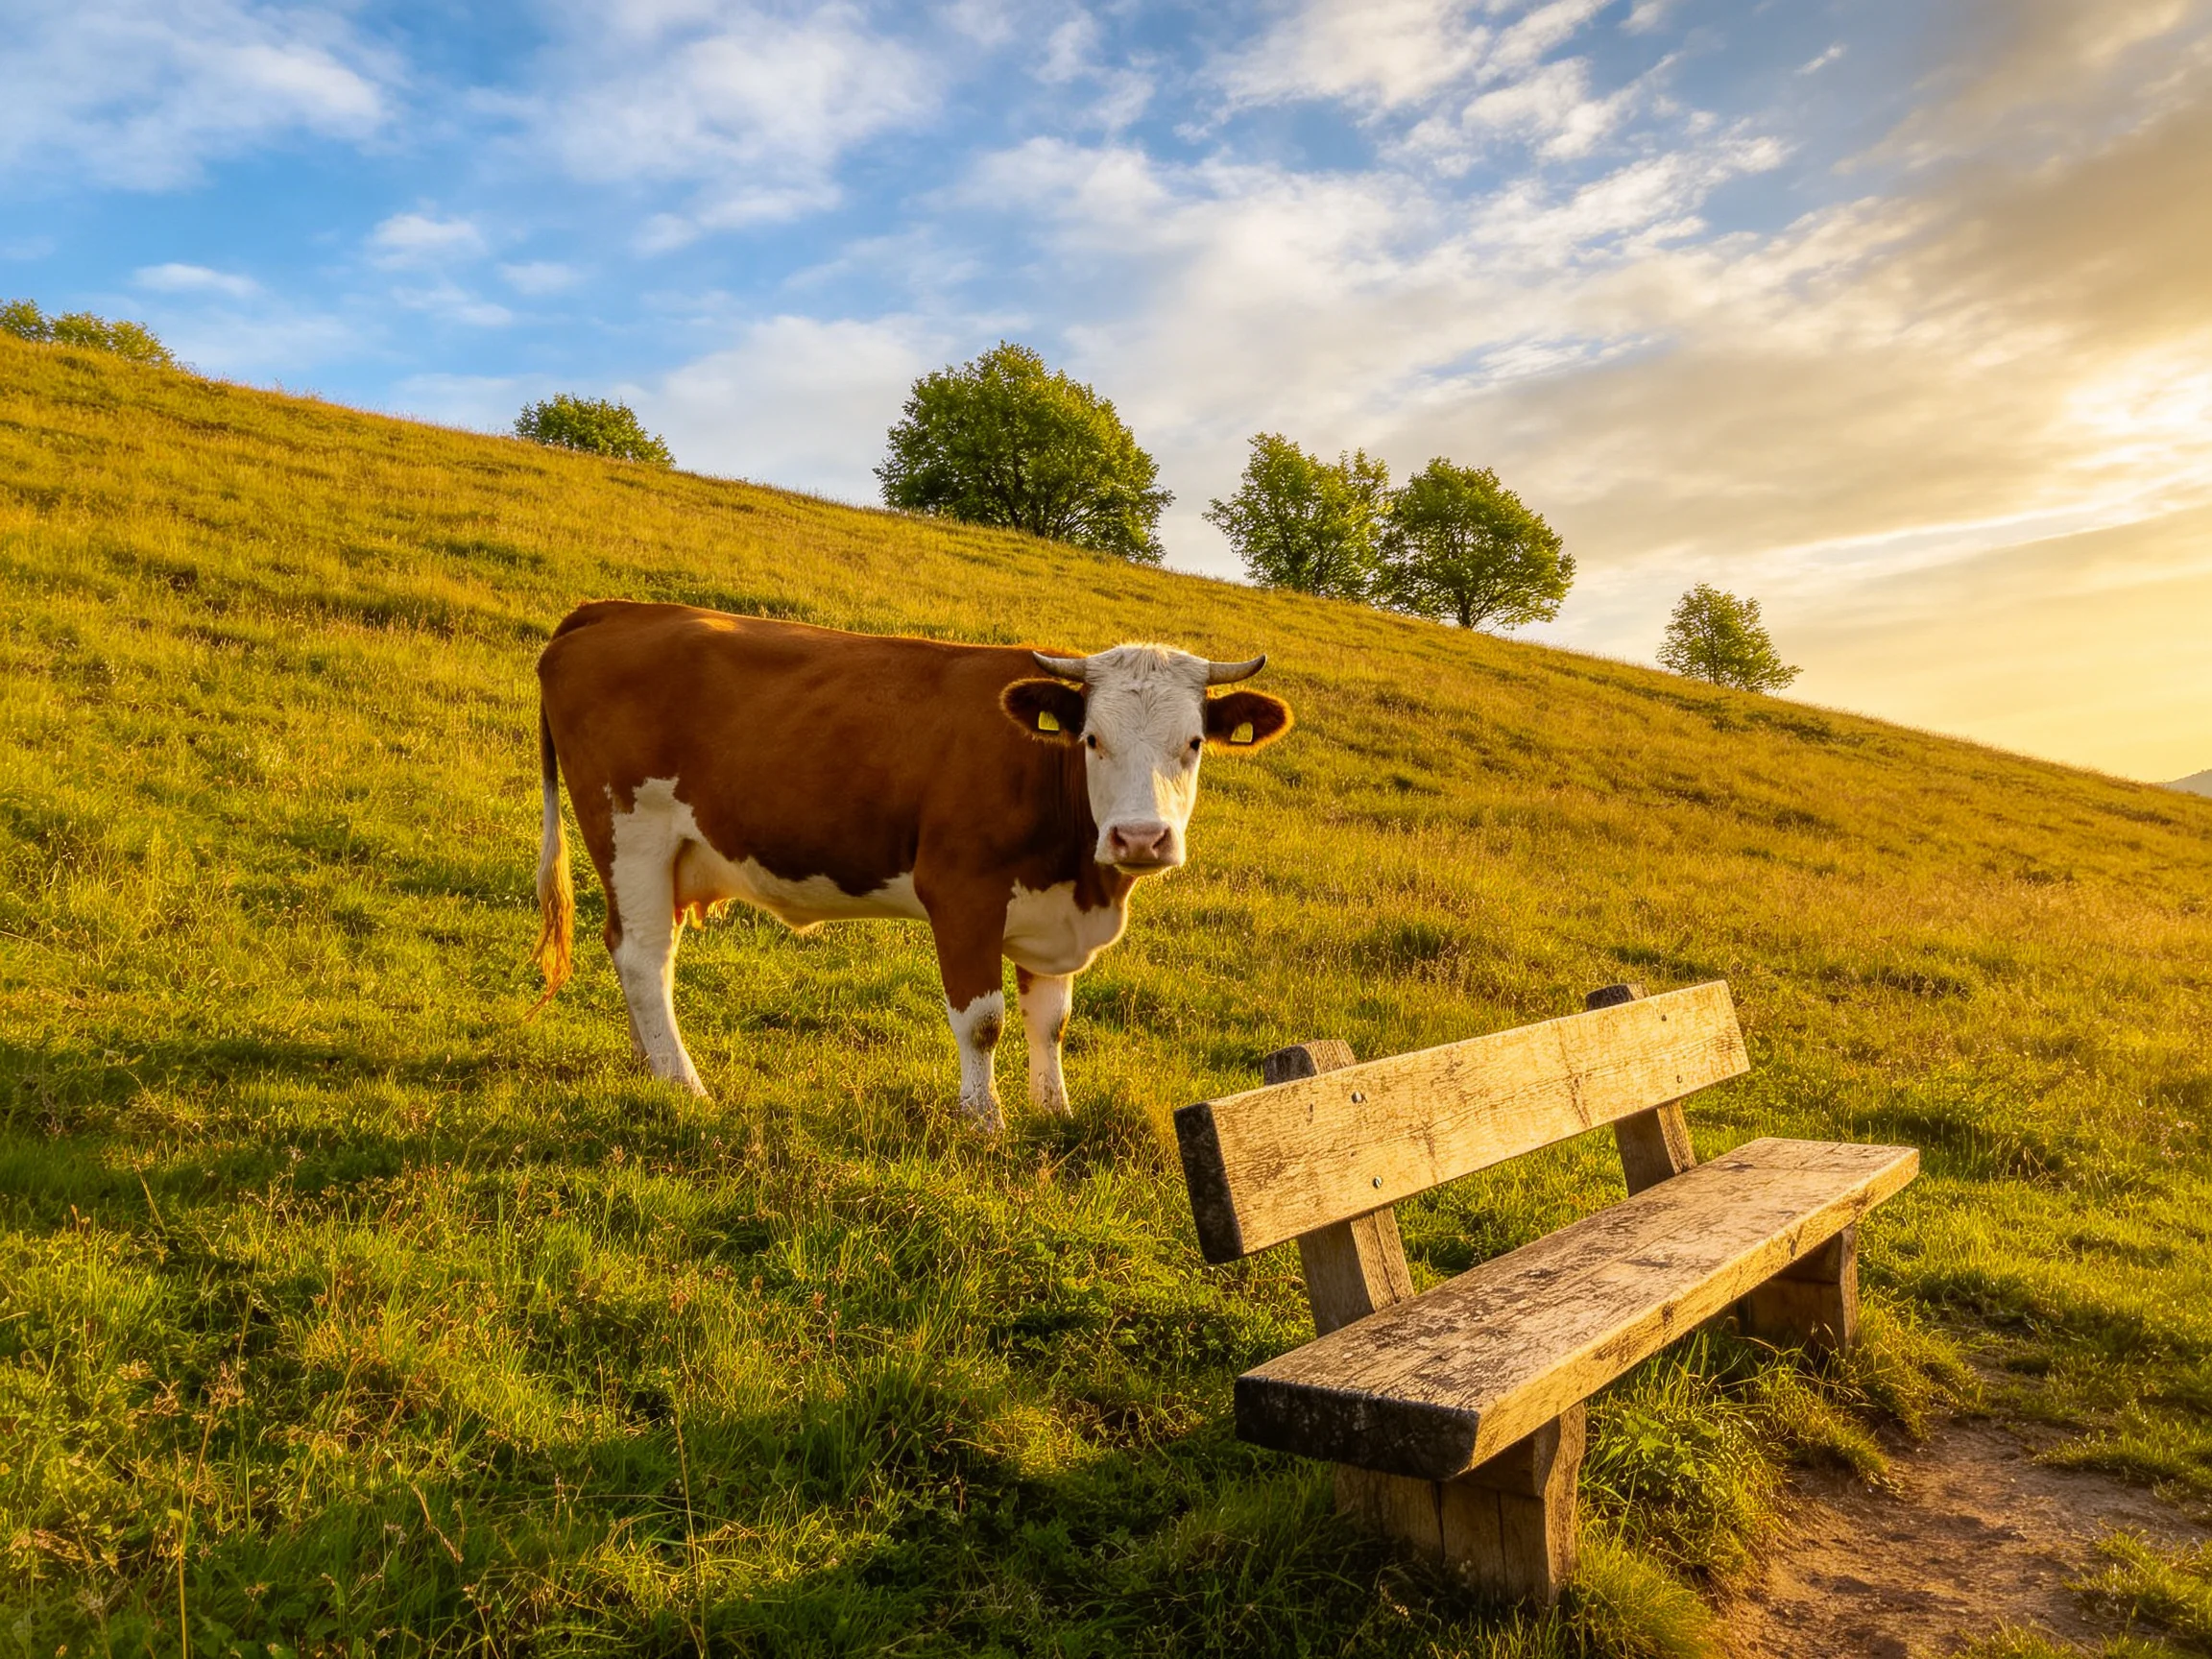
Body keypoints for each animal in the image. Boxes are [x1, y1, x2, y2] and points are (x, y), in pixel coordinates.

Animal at [528, 601, 1293, 1129]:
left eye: (1193, 742)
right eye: (1093, 740)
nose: (1139, 839)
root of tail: (617, 608)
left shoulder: (1052, 912)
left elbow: (1050, 1019)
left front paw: (1055, 1114)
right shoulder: (961, 892)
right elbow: (983, 1020)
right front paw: (985, 1122)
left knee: (634, 949)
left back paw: (649, 1065)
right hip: (631, 831)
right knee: (645, 955)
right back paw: (686, 1085)